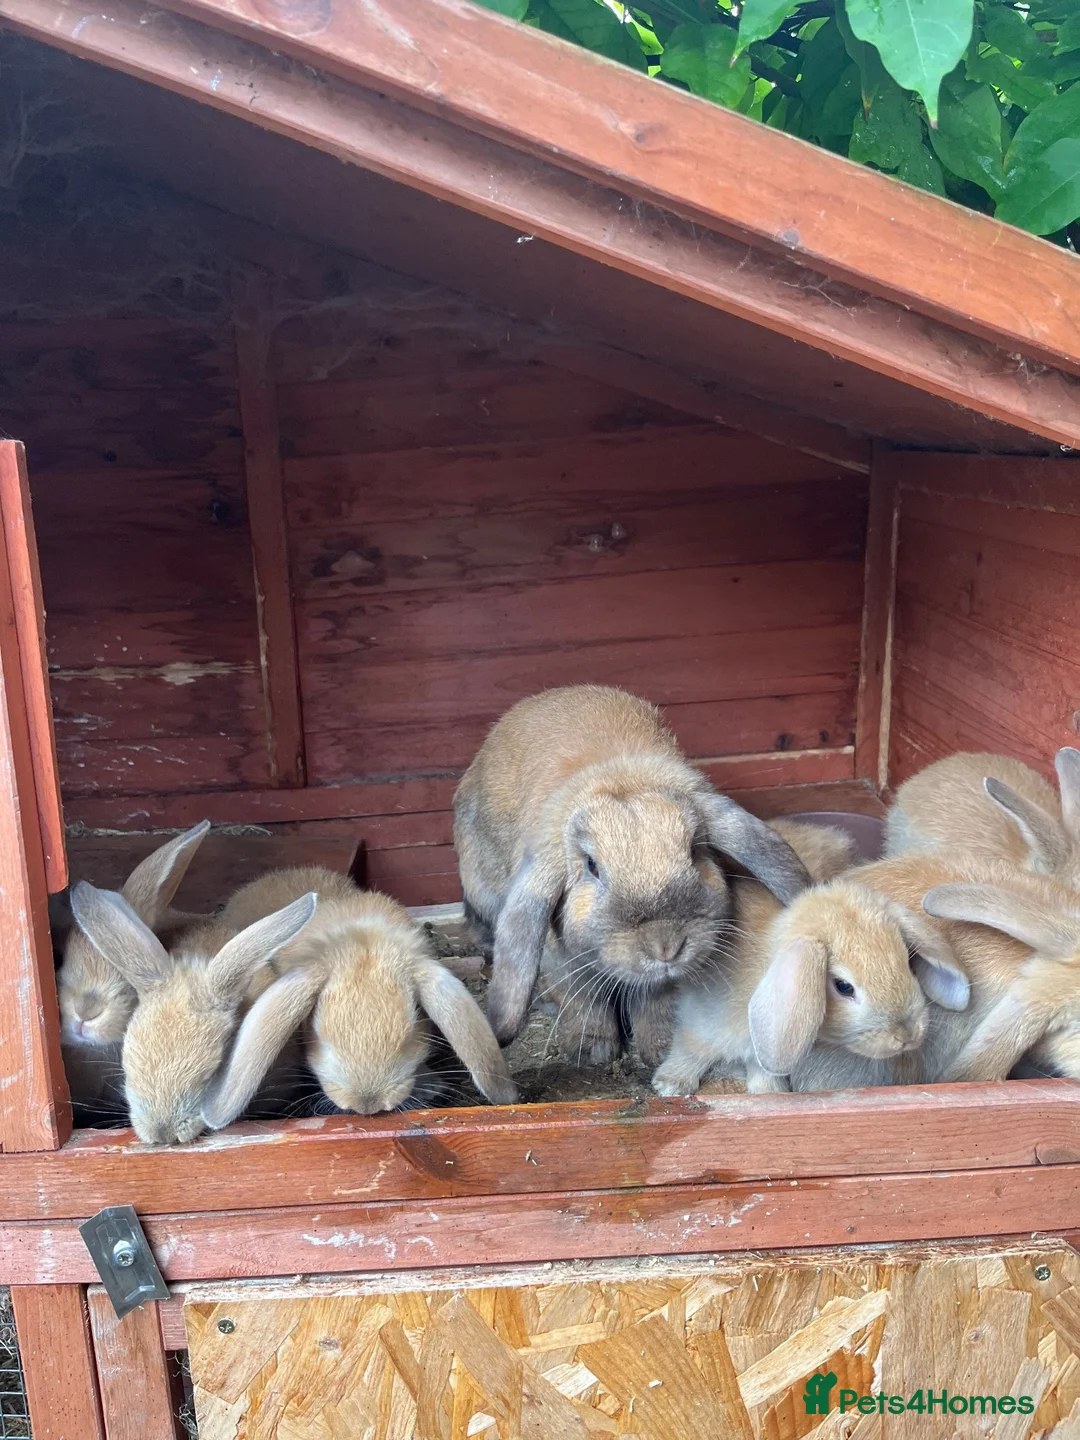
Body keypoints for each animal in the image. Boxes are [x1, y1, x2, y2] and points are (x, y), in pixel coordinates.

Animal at [453, 685, 811, 1066]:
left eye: (695, 850)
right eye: (592, 866)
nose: (665, 946)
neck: (620, 780)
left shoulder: (663, 982)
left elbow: (656, 1002)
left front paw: (661, 1048)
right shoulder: (563, 962)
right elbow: (586, 999)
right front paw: (592, 1052)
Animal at [652, 830, 969, 1097]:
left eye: (907, 960)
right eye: (843, 987)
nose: (907, 1035)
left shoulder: (759, 1054)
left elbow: (762, 1073)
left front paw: (770, 1095)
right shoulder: (701, 1024)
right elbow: (689, 1050)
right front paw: (669, 1085)